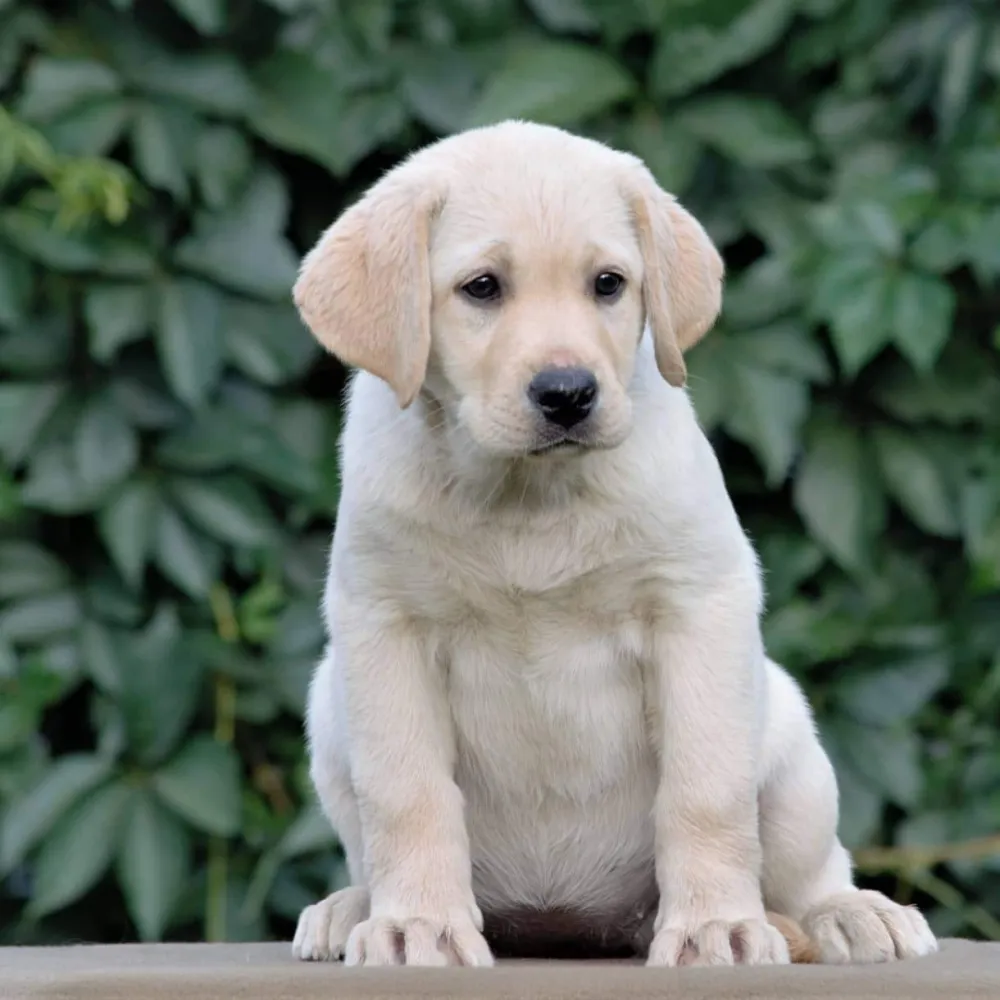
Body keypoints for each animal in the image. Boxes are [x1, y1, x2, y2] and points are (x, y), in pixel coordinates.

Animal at [288, 119, 936, 968]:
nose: (567, 394)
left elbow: (705, 789)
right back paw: (351, 908)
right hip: (328, 706)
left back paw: (854, 914)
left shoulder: (697, 609)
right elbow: (408, 795)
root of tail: (564, 922)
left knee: (812, 869)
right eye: (482, 288)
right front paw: (416, 925)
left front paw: (717, 927)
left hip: (793, 749)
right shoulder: (384, 625)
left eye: (608, 284)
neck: (527, 497)